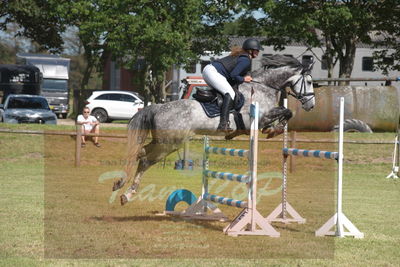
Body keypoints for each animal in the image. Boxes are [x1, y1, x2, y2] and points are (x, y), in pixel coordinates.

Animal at [113, 54, 316, 205]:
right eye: (309, 82)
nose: (311, 105)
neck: (263, 87)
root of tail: (157, 107)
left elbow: (284, 113)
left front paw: (273, 129)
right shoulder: (258, 118)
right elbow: (286, 112)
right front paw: (275, 129)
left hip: (163, 141)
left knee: (141, 152)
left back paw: (123, 187)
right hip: (170, 144)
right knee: (145, 159)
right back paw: (127, 193)